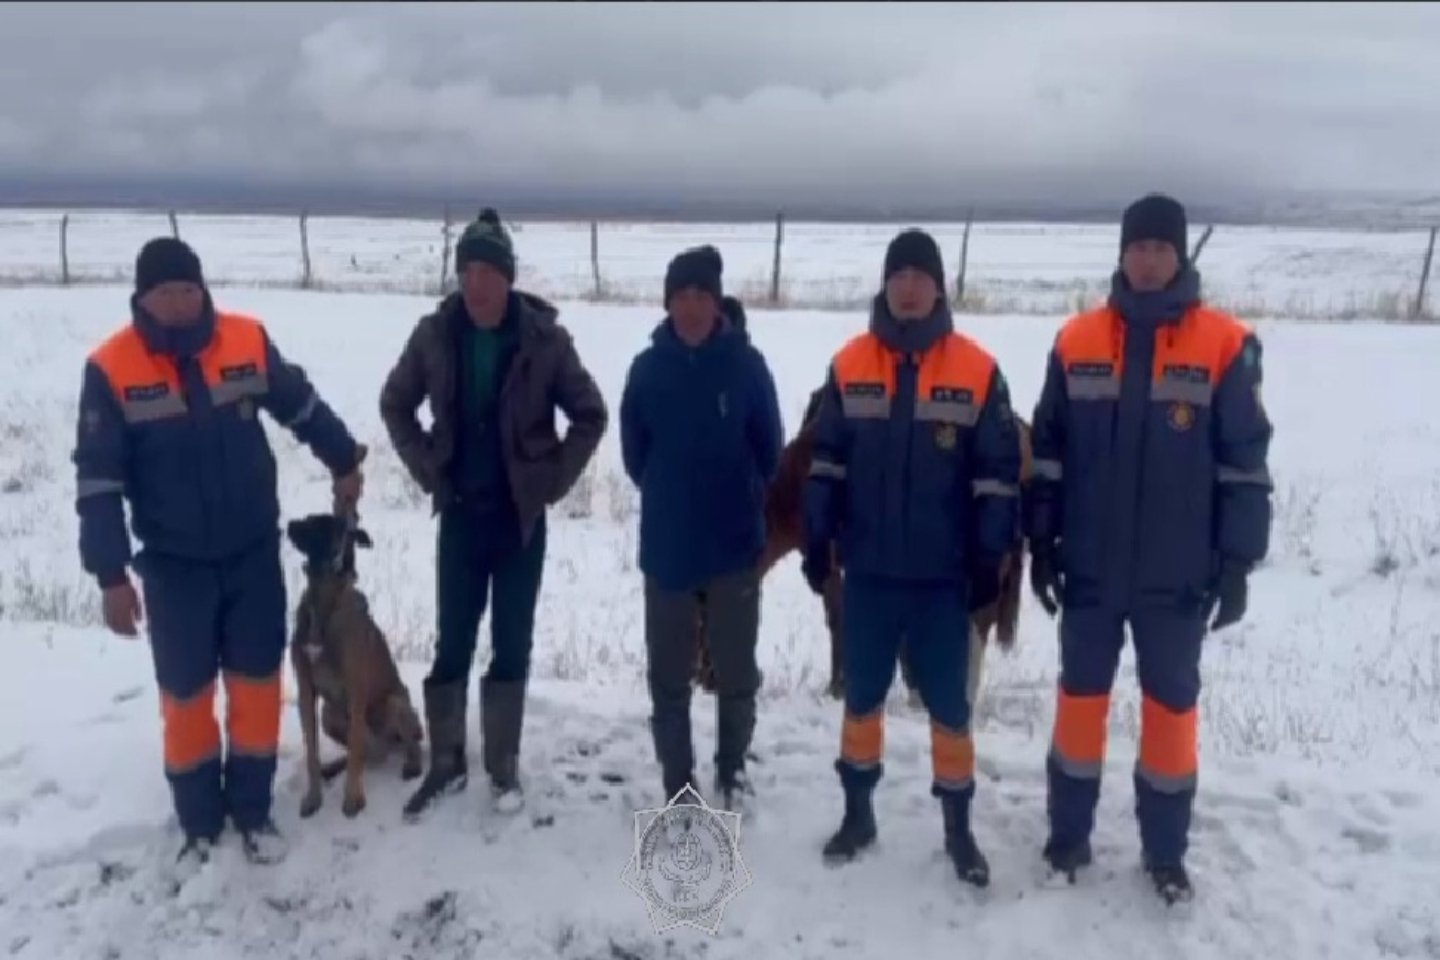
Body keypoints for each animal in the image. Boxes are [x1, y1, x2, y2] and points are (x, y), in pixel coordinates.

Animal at [285, 509, 420, 817]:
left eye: (317, 523)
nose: (288, 523)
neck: (323, 601)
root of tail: (385, 749)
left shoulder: (356, 692)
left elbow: (356, 747)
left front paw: (353, 799)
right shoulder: (305, 690)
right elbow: (311, 751)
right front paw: (313, 797)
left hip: (396, 703)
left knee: (403, 744)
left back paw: (412, 765)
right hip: (330, 715)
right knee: (359, 752)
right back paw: (335, 767)